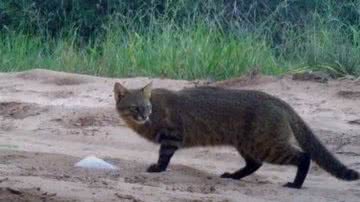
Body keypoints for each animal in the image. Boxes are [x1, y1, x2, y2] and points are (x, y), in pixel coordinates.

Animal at [112, 81, 358, 189]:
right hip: (247, 144)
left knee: (303, 157)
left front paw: (157, 168)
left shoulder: (172, 136)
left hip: (266, 144)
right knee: (254, 164)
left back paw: (296, 184)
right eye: (135, 107)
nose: (144, 115)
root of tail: (277, 100)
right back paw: (233, 176)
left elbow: (164, 156)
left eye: (146, 107)